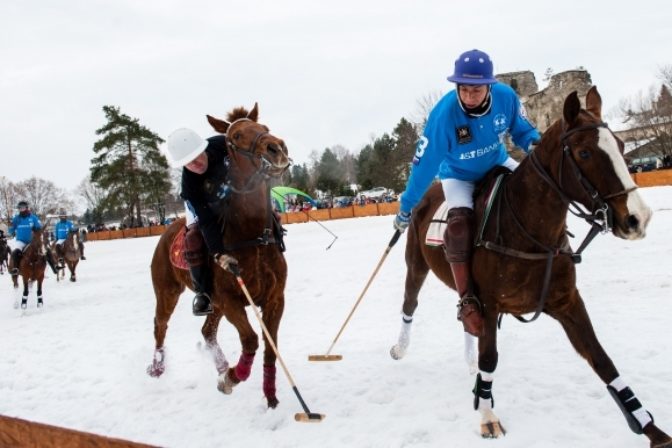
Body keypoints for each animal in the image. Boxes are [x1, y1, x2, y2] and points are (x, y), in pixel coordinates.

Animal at [148, 102, 290, 410]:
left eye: (263, 127)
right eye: (234, 137)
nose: (277, 149)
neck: (252, 234)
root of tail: (167, 228)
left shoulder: (275, 298)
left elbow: (270, 346)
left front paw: (271, 397)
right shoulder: (230, 299)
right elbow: (250, 340)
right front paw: (231, 379)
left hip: (213, 305)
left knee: (207, 331)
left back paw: (222, 366)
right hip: (167, 290)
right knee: (160, 325)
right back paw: (158, 368)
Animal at [388, 86, 672, 446]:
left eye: (621, 146)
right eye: (584, 153)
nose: (637, 218)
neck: (531, 232)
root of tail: (430, 191)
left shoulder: (567, 301)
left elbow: (601, 358)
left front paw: (650, 427)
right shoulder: (490, 304)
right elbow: (491, 358)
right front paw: (488, 417)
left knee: (465, 319)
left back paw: (468, 360)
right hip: (416, 263)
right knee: (411, 302)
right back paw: (400, 348)